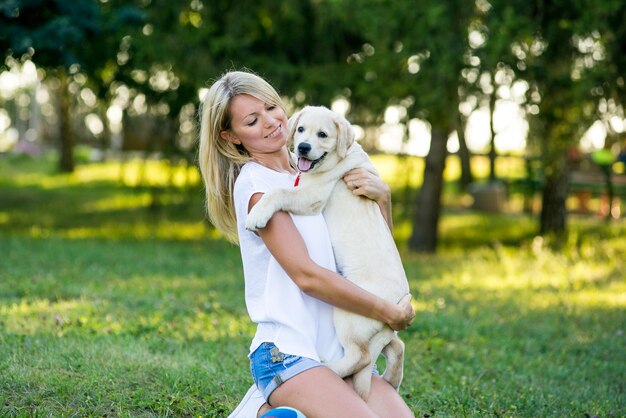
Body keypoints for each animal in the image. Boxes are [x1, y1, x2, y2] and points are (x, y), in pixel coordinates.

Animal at [244, 106, 410, 400]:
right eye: (300, 129)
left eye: (322, 135)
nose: (303, 147)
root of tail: (399, 299)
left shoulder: (312, 196)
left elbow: (278, 191)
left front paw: (257, 214)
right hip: (377, 327)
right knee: (395, 347)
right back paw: (391, 380)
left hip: (349, 313)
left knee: (361, 356)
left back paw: (330, 369)